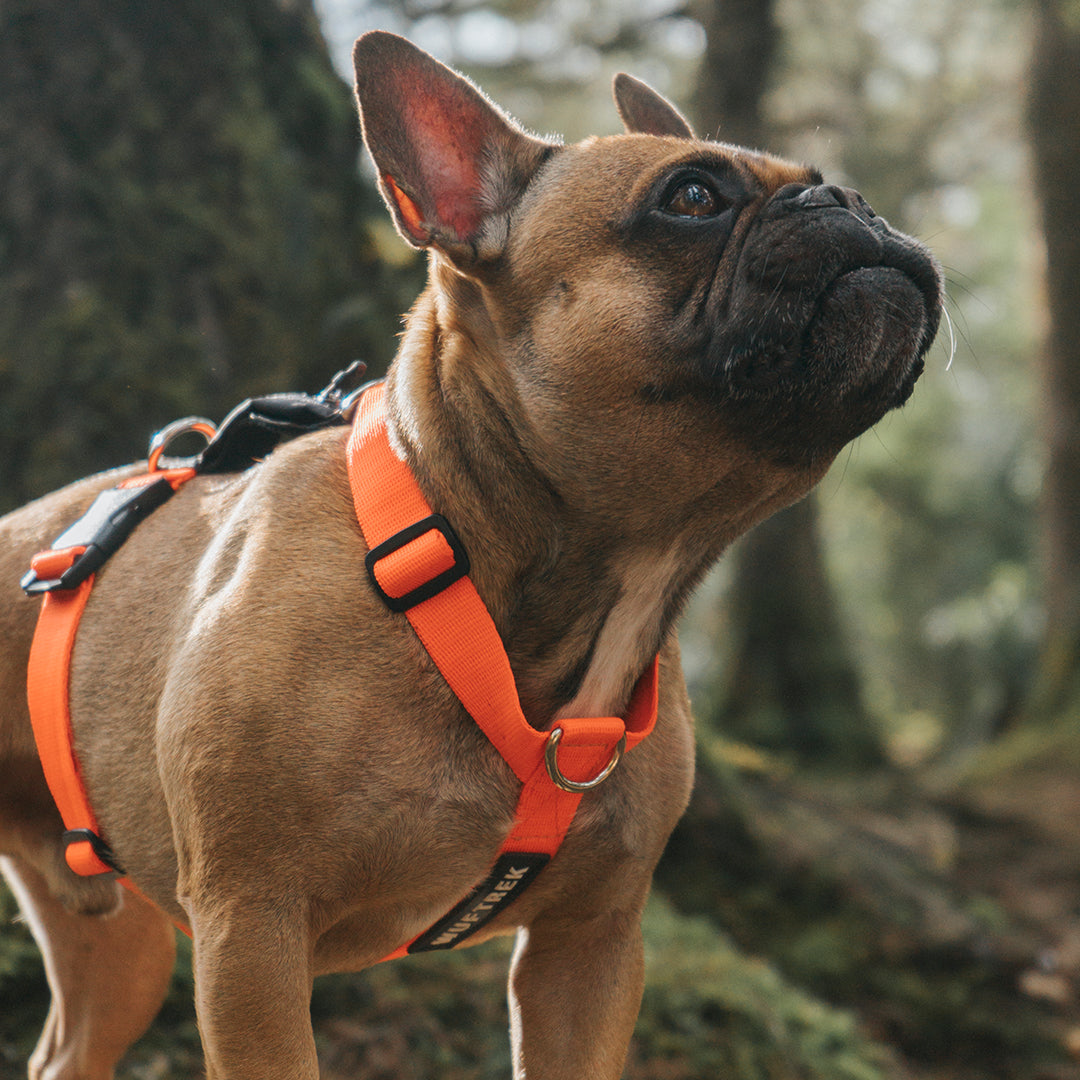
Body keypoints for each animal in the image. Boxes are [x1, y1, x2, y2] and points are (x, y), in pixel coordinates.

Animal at [0, 29, 946, 1075]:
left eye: (823, 183)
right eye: (693, 196)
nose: (851, 202)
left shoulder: (591, 946)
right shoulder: (251, 934)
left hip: (121, 949)